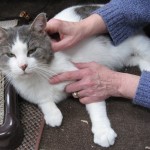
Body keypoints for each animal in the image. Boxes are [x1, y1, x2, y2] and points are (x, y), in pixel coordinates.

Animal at [0, 3, 150, 148]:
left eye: (32, 50)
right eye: (10, 55)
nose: (23, 66)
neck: (39, 74)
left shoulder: (83, 77)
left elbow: (95, 102)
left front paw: (103, 131)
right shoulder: (28, 91)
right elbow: (42, 100)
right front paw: (52, 114)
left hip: (138, 43)